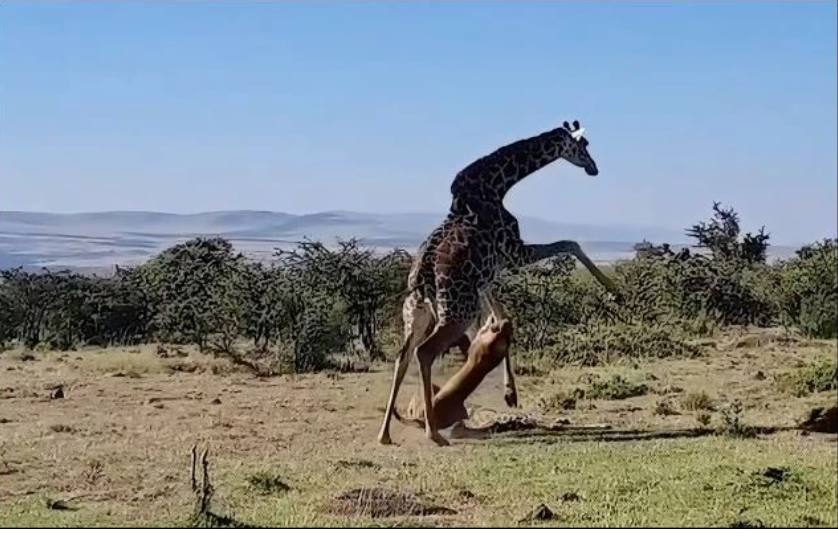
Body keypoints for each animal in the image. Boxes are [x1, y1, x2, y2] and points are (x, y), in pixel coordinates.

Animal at [378, 120, 618, 446]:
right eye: (584, 146)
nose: (594, 169)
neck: (495, 185)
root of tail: (421, 277)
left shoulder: (487, 277)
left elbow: (503, 317)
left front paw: (510, 393)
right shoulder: (514, 252)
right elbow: (570, 243)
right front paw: (614, 291)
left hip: (417, 314)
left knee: (402, 357)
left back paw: (385, 434)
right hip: (457, 312)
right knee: (424, 352)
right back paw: (433, 432)